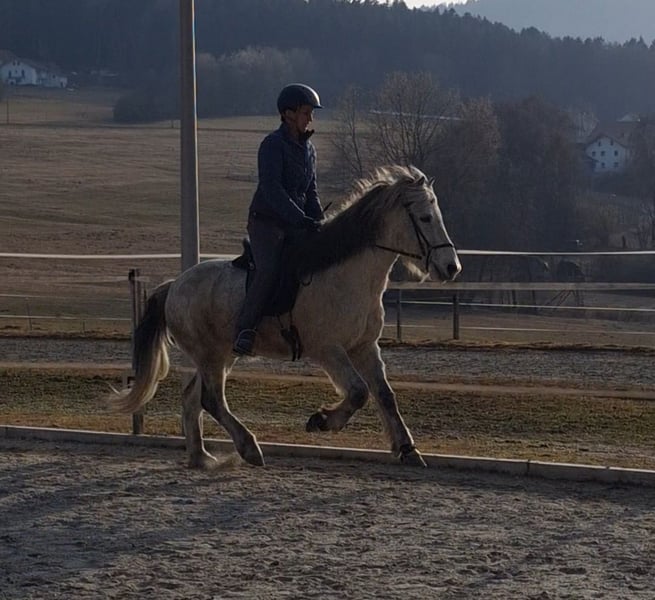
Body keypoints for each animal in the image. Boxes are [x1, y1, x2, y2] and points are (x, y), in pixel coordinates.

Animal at [108, 165, 461, 468]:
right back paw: (249, 448)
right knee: (211, 399)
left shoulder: (364, 347)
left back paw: (201, 458)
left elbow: (385, 395)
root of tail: (175, 285)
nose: (451, 267)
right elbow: (359, 392)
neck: (347, 275)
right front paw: (321, 420)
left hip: (219, 356)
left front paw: (407, 449)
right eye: (425, 218)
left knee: (192, 397)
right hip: (211, 356)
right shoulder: (328, 350)